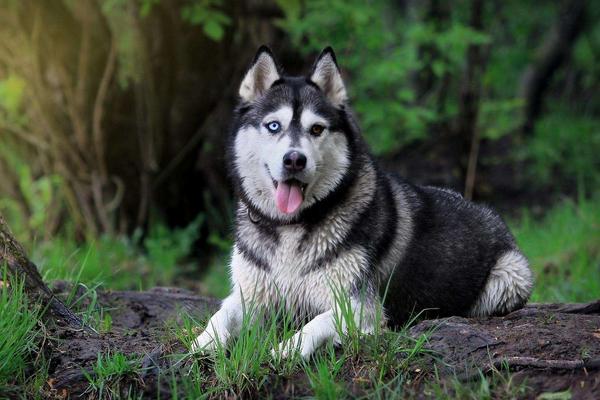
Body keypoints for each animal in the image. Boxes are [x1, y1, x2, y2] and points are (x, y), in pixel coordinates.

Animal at [192, 46, 536, 356]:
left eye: (316, 129)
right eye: (273, 126)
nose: (294, 160)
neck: (291, 226)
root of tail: (488, 212)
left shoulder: (360, 306)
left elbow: (316, 324)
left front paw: (286, 349)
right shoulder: (250, 295)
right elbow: (221, 314)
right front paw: (203, 342)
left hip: (509, 277)